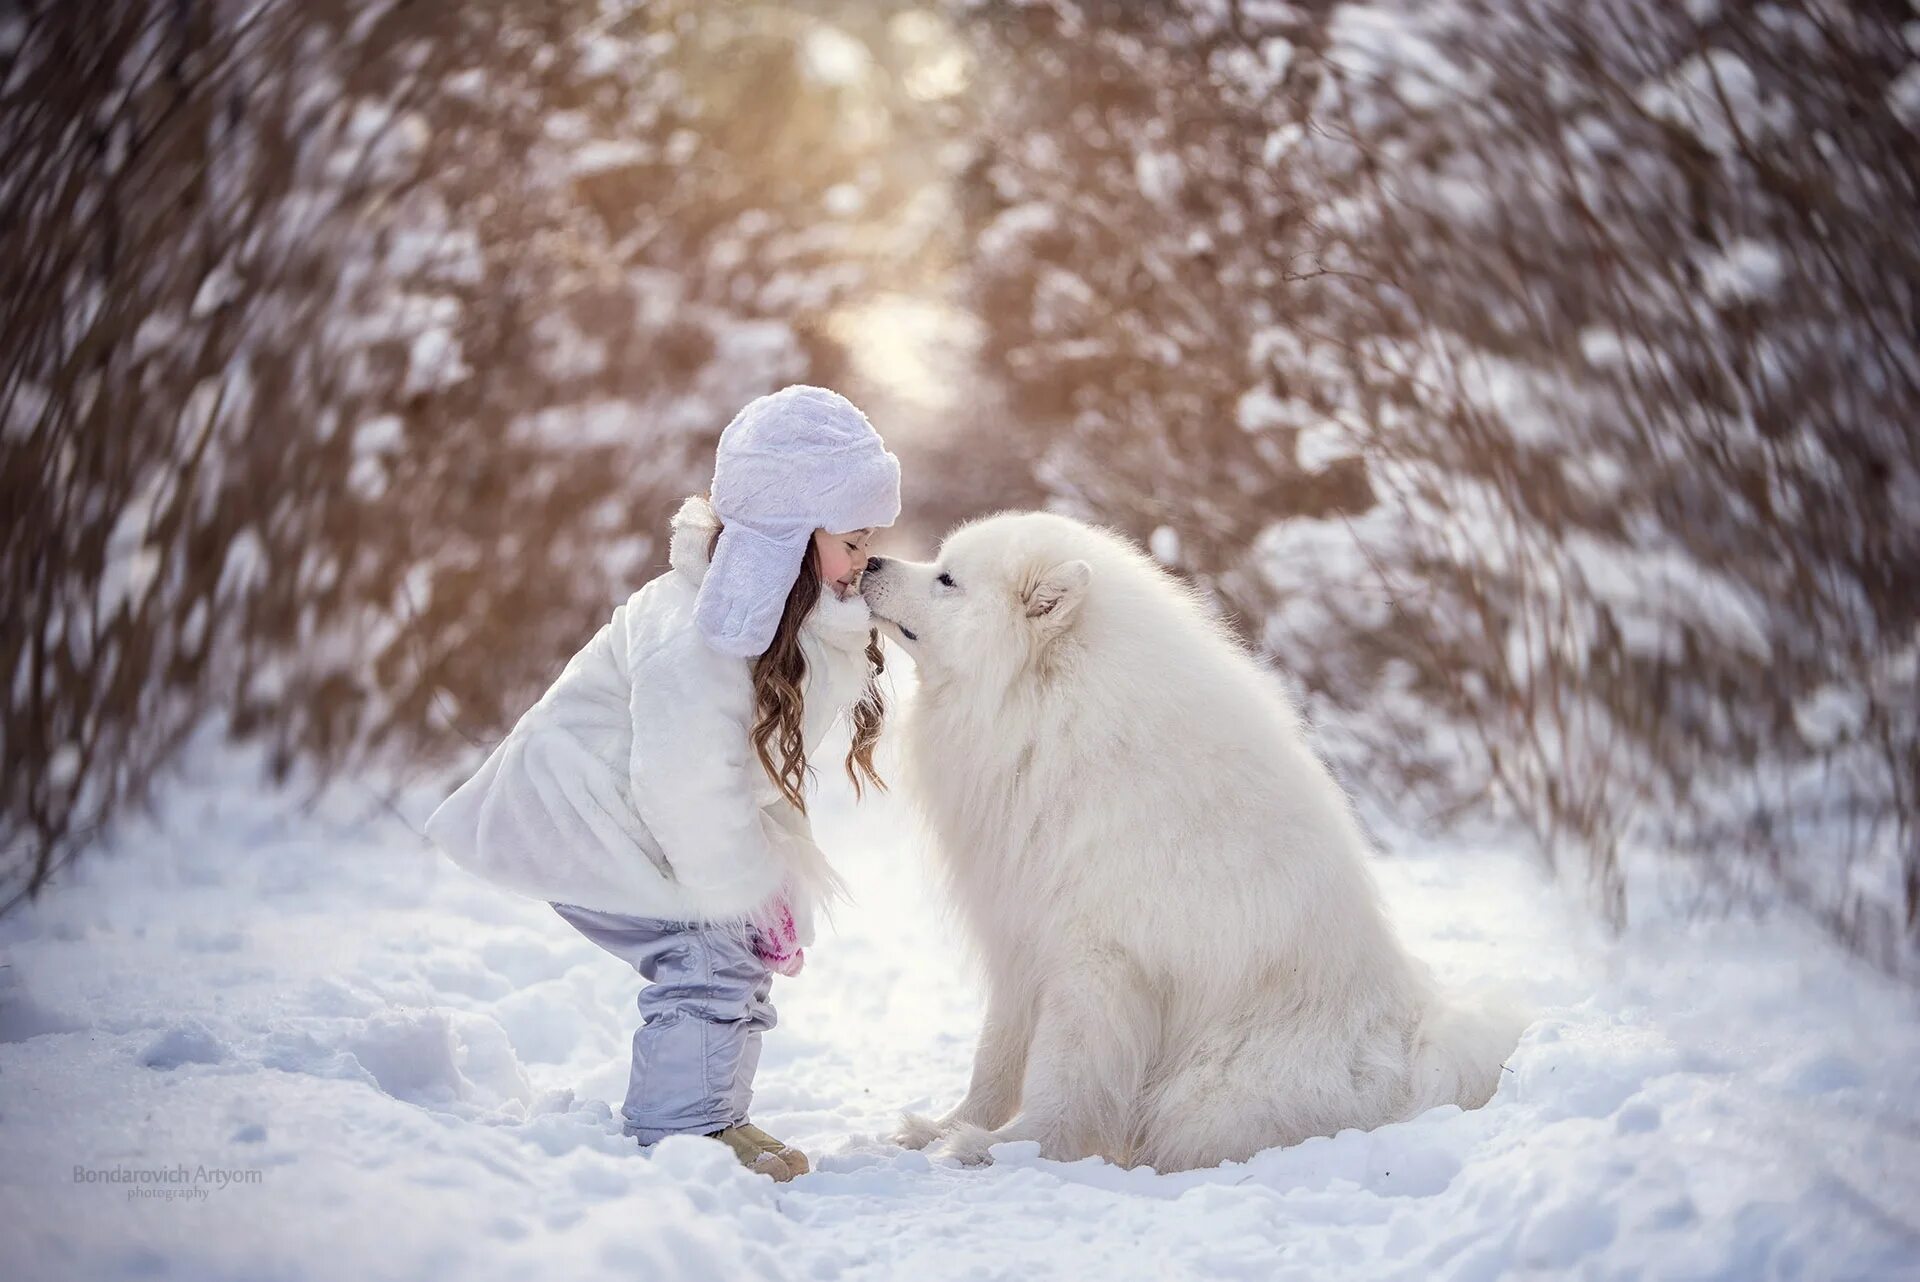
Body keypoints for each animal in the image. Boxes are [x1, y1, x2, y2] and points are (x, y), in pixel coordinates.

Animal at [860, 510, 1512, 1174]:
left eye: (947, 579)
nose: (869, 561)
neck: (1047, 708)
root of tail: (1406, 1052)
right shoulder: (1021, 937)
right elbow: (993, 1061)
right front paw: (942, 1129)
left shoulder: (1098, 960)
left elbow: (1060, 1077)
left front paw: (1006, 1148)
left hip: (1211, 1085)